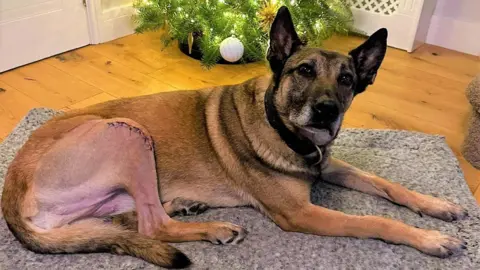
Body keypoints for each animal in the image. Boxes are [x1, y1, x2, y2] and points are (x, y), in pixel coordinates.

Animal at [0, 6, 464, 268]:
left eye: (347, 80)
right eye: (304, 71)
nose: (327, 112)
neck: (284, 130)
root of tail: (12, 184)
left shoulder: (329, 164)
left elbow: (387, 185)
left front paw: (436, 206)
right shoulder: (301, 214)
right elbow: (374, 221)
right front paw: (429, 239)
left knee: (125, 220)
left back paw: (186, 205)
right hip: (128, 134)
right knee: (152, 225)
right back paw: (215, 228)